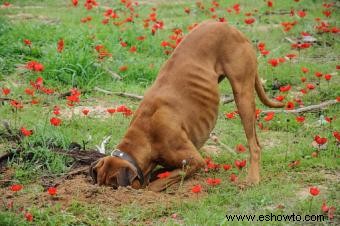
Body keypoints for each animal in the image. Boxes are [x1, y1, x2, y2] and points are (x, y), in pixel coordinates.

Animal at [89, 21, 282, 192]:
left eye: (113, 187)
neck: (146, 134)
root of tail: (231, 28)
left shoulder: (195, 160)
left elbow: (157, 184)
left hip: (242, 95)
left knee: (254, 145)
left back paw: (253, 179)